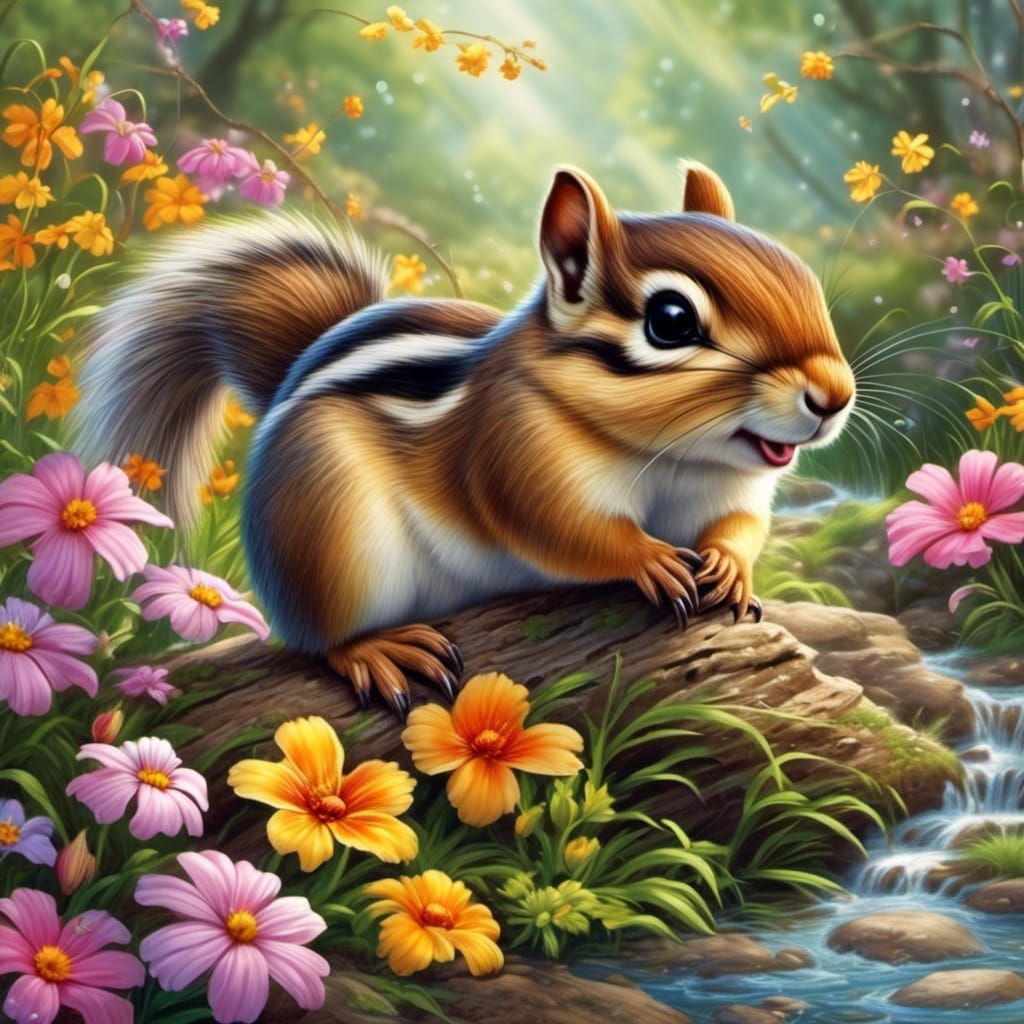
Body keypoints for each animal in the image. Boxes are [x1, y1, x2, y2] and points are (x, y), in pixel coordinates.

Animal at [75, 160, 855, 716]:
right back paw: (380, 649)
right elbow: (564, 529)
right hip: (330, 533)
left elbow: (741, 528)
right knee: (320, 637)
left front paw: (729, 565)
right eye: (671, 320)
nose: (834, 396)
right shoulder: (512, 455)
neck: (675, 457)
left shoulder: (735, 493)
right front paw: (650, 559)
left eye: (805, 280)